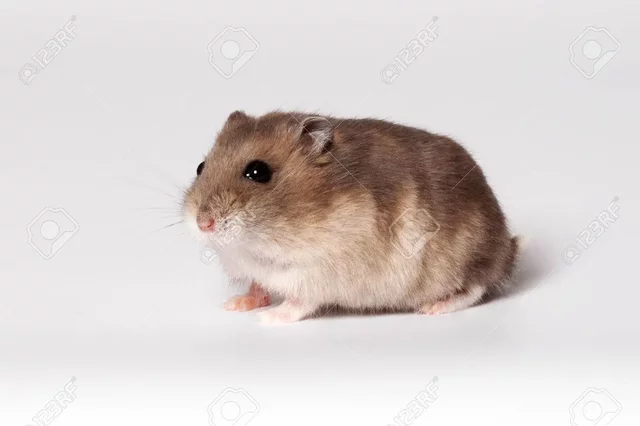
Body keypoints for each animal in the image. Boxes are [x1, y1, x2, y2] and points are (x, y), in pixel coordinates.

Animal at [183, 110, 521, 324]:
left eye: (258, 172)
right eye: (201, 167)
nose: (203, 223)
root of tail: (506, 247)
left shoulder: (316, 273)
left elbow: (300, 303)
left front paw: (268, 319)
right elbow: (257, 286)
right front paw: (234, 305)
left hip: (464, 259)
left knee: (475, 288)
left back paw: (431, 308)